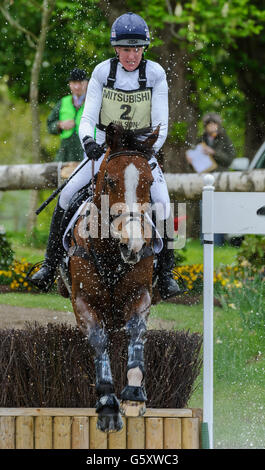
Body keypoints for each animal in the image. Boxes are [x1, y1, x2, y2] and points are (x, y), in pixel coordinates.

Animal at [65, 124, 158, 434]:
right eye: (110, 180)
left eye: (149, 182)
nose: (134, 244)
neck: (111, 255)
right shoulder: (82, 301)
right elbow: (98, 340)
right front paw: (107, 404)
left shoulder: (140, 294)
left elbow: (137, 333)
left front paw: (134, 396)